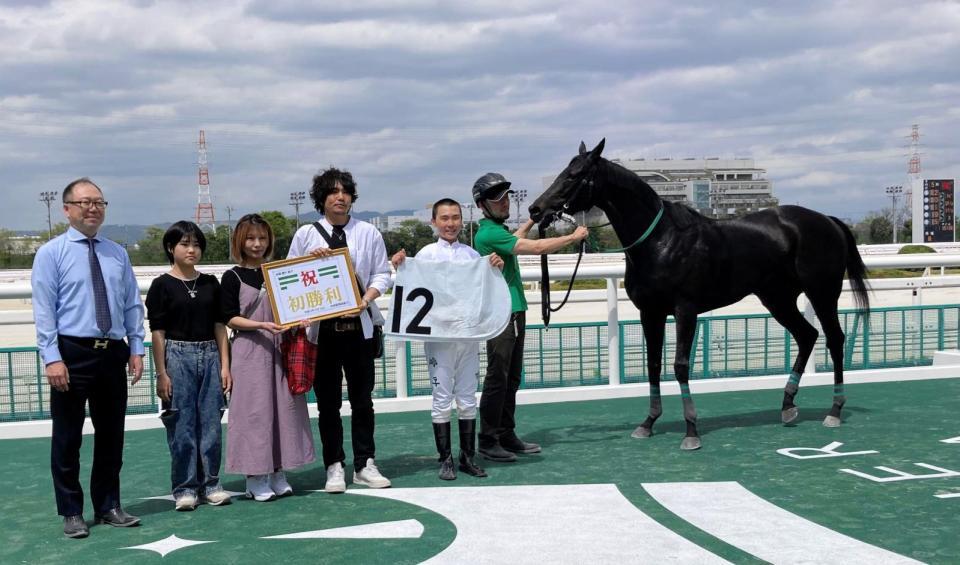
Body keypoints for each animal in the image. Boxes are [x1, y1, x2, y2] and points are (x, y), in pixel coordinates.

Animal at [528, 140, 872, 450]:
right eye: (563, 171)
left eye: (574, 175)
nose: (535, 209)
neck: (661, 240)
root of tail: (828, 221)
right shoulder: (649, 312)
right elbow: (654, 364)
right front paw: (648, 423)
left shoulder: (685, 309)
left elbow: (680, 364)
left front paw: (691, 430)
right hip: (777, 298)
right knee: (807, 335)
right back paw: (787, 405)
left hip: (822, 292)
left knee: (834, 339)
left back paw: (834, 410)